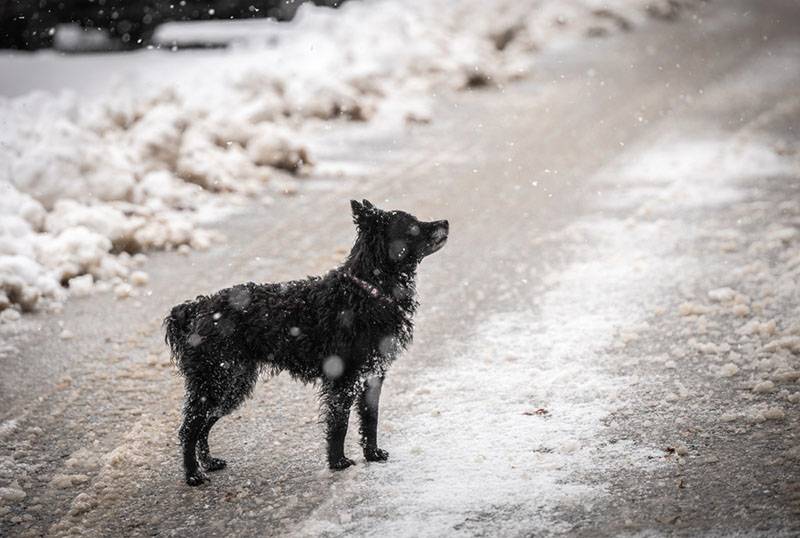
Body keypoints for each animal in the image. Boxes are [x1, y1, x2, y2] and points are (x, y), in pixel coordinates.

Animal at [165, 199, 446, 484]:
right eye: (413, 226)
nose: (445, 222)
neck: (368, 291)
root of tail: (196, 308)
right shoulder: (344, 379)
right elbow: (340, 423)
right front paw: (338, 462)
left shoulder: (373, 375)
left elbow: (371, 419)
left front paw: (372, 454)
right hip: (214, 381)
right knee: (189, 428)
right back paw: (193, 474)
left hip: (232, 384)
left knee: (203, 426)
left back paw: (208, 463)